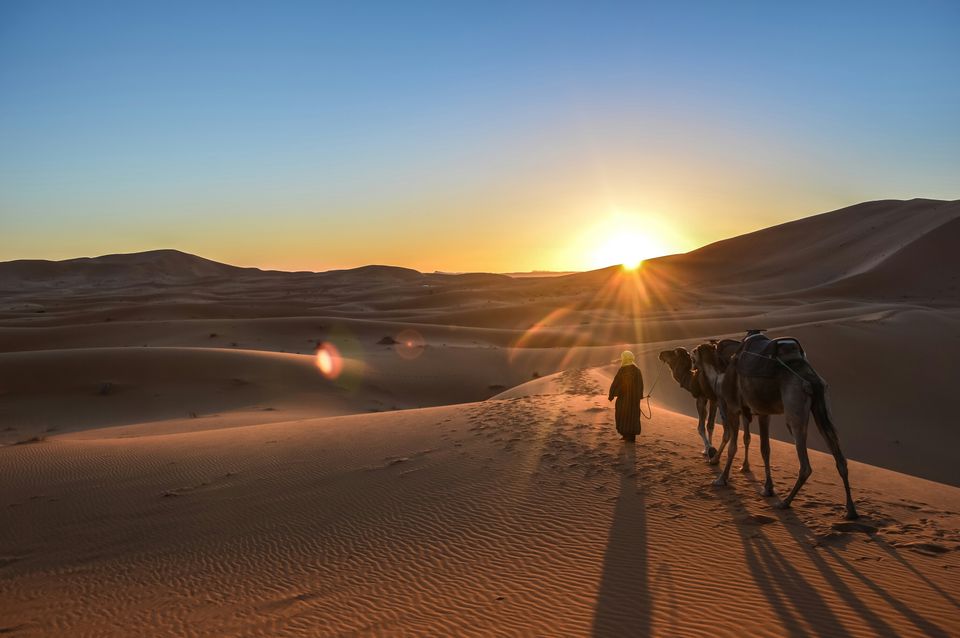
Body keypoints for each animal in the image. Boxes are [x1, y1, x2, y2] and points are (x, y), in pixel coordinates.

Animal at [692, 336, 860, 520]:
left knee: (805, 464)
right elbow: (764, 449)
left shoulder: (733, 407)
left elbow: (732, 445)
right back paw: (850, 510)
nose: (692, 359)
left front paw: (721, 478)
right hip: (822, 407)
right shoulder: (763, 413)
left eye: (695, 354)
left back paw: (785, 502)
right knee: (840, 459)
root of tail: (811, 379)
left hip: (794, 411)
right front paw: (767, 488)